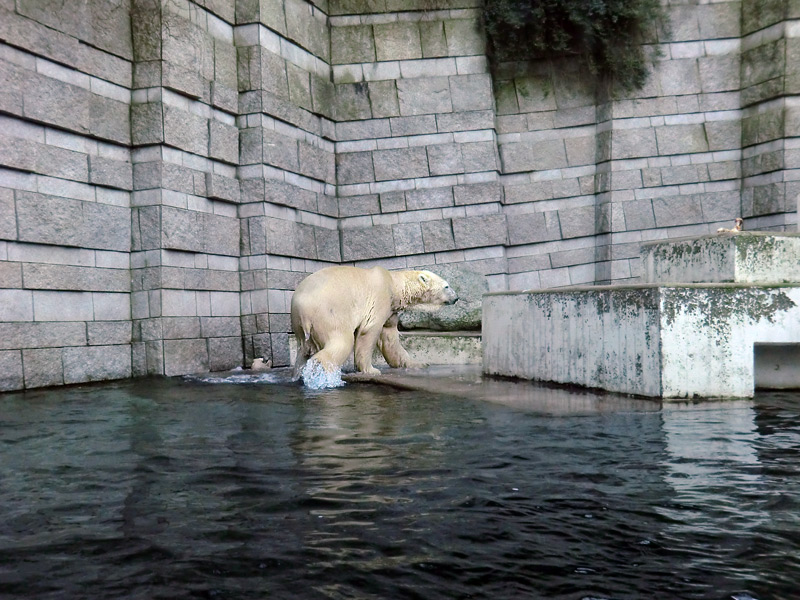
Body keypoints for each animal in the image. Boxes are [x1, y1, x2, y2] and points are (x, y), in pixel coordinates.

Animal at [292, 266, 456, 378]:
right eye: (447, 286)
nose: (456, 298)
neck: (393, 283)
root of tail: (302, 308)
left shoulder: (391, 310)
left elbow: (390, 339)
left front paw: (419, 364)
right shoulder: (379, 298)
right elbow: (369, 331)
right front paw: (371, 370)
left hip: (299, 325)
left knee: (303, 350)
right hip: (329, 314)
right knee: (342, 340)